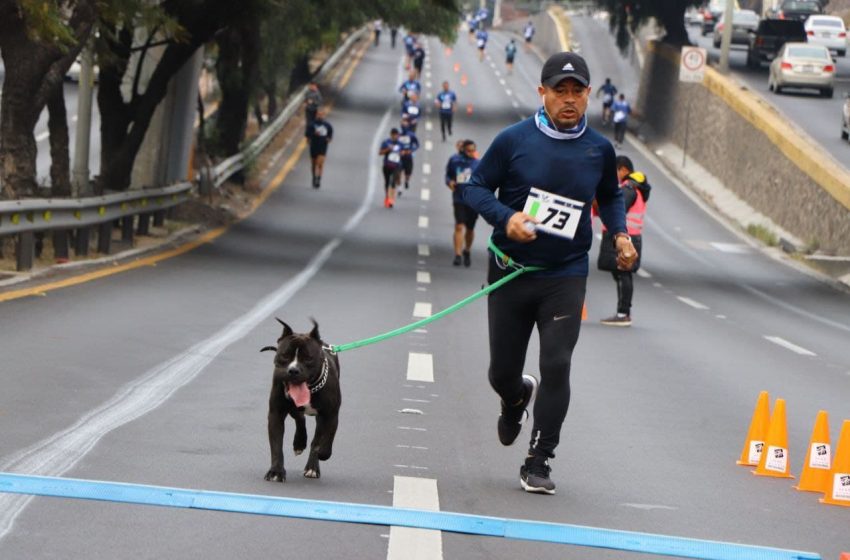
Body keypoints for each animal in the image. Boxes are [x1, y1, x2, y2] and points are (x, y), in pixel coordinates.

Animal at [260, 320, 340, 482]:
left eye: (308, 358)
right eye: (284, 355)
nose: (293, 370)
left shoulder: (331, 414)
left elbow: (325, 438)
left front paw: (322, 453)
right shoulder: (276, 414)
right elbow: (276, 445)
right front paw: (276, 471)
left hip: (321, 418)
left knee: (316, 437)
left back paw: (312, 467)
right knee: (300, 418)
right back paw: (299, 443)